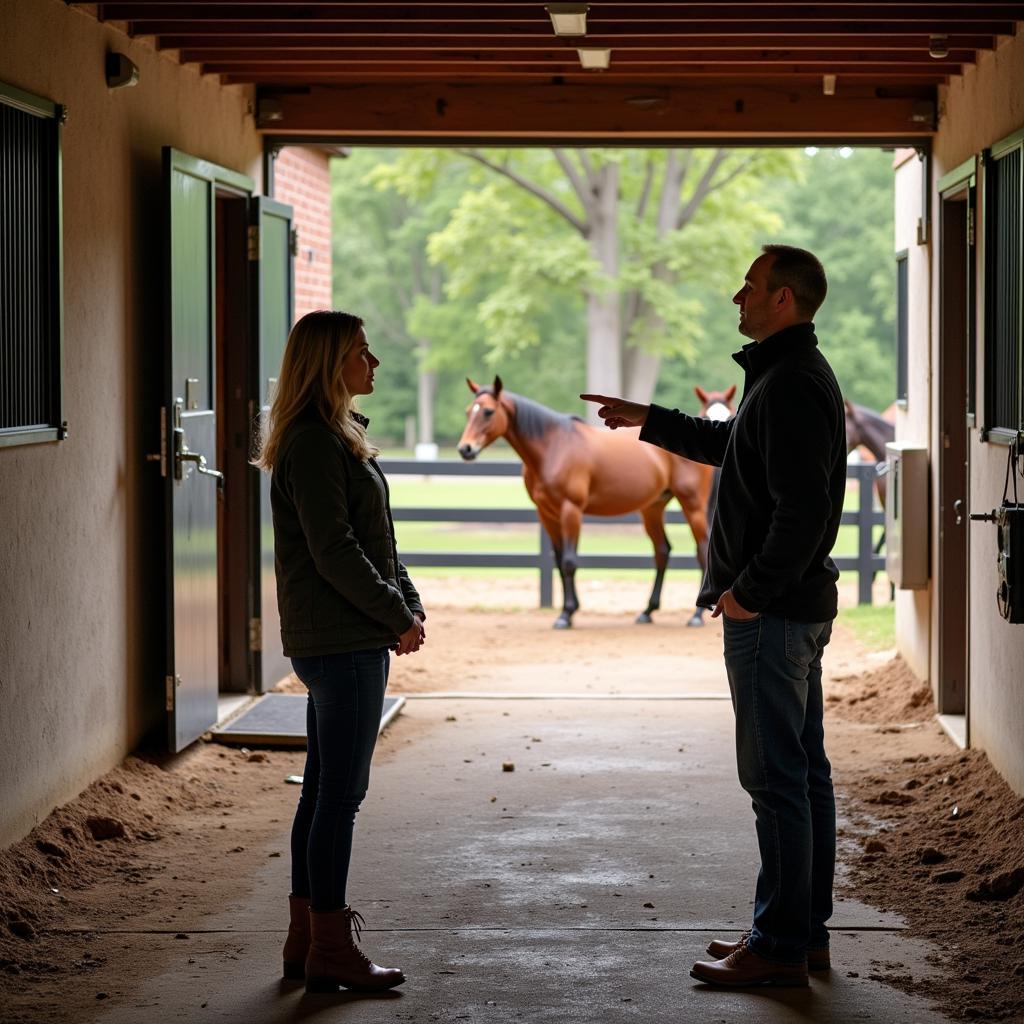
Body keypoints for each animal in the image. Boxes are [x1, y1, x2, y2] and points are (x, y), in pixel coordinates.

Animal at [456, 378, 729, 626]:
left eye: (488, 412)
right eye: (469, 412)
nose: (465, 449)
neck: (553, 447)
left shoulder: (571, 510)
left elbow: (569, 562)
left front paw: (566, 614)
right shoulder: (547, 514)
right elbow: (559, 561)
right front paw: (570, 609)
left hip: (692, 505)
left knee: (701, 551)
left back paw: (696, 616)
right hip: (652, 508)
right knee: (662, 551)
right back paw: (647, 612)